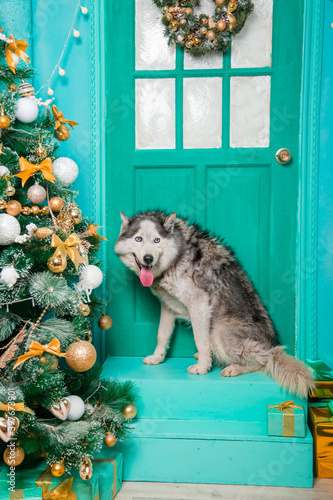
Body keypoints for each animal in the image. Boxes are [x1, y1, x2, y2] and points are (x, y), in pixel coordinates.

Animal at [114, 209, 314, 396]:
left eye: (157, 240)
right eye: (138, 239)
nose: (148, 258)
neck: (176, 256)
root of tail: (272, 345)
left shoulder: (199, 304)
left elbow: (200, 339)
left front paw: (203, 368)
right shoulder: (168, 305)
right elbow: (162, 335)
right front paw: (157, 358)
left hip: (217, 332)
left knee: (264, 361)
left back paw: (234, 368)